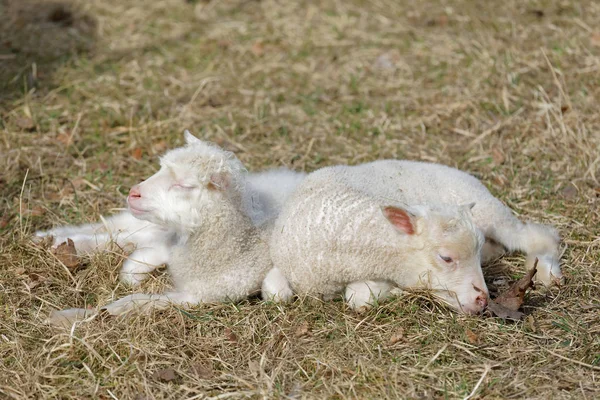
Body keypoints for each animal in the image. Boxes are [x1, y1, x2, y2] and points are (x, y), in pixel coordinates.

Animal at [45, 131, 304, 324]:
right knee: (115, 227)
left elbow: (133, 300)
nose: (133, 193)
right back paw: (51, 238)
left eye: (184, 185)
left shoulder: (197, 294)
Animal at [264, 161, 564, 314]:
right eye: (446, 258)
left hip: (489, 210)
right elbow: (274, 293)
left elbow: (360, 297)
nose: (483, 301)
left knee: (537, 237)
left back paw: (548, 274)